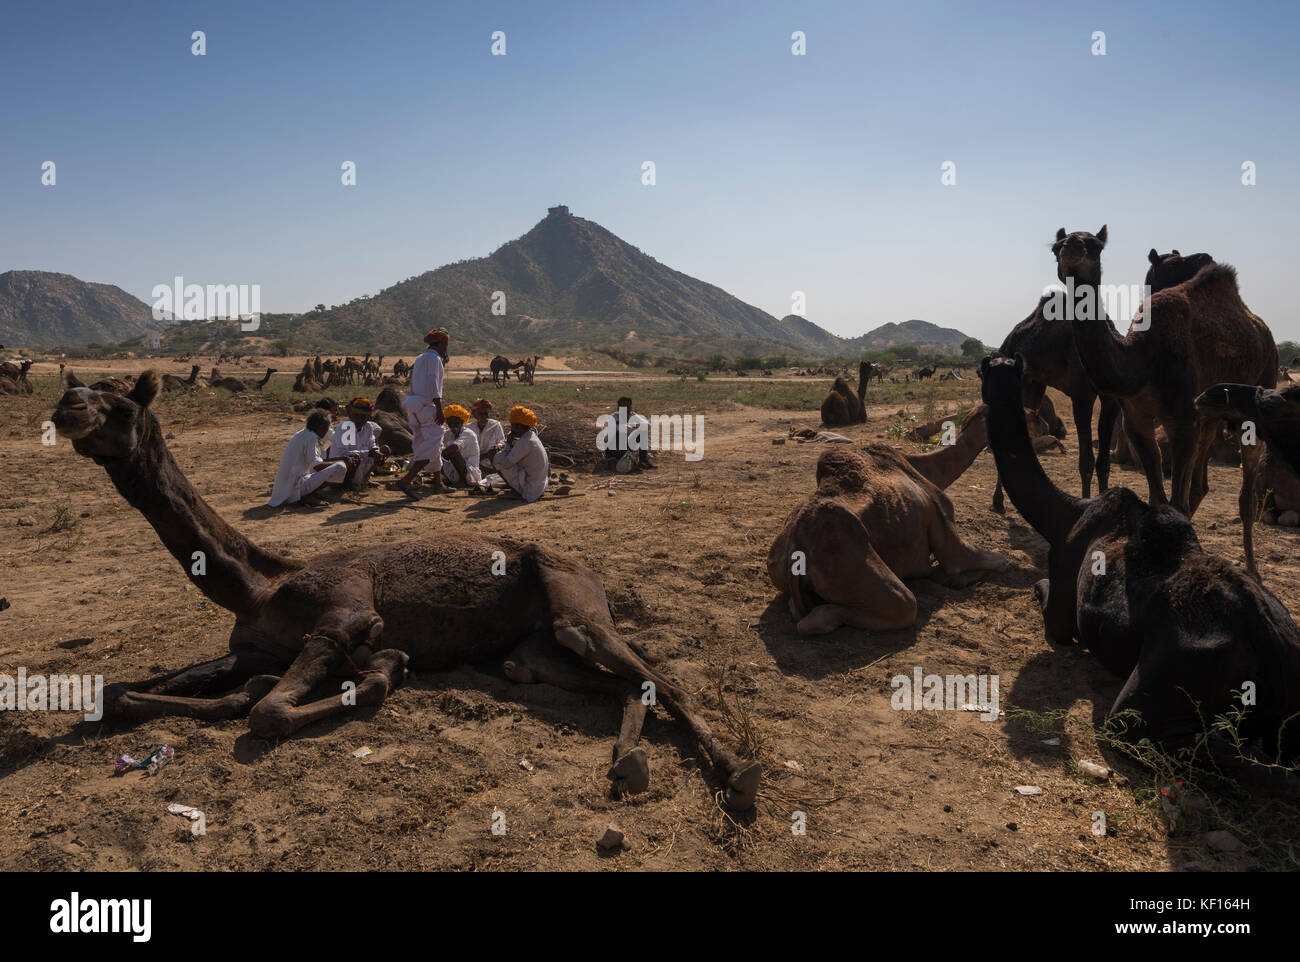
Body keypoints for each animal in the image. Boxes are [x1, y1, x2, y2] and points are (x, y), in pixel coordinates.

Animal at [49, 373, 761, 808]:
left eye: (122, 405)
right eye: (78, 393)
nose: (67, 406)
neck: (262, 585)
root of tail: (594, 573)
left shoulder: (342, 618)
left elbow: (268, 711)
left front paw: (380, 674)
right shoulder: (250, 649)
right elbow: (124, 695)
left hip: (579, 612)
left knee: (665, 679)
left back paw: (736, 775)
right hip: (533, 652)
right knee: (599, 681)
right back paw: (625, 760)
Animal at [981, 354, 1300, 758]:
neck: (1067, 513)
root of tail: (1275, 647)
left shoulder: (1063, 573)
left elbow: (1053, 607)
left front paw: (1039, 585)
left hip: (1173, 677)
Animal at [1068, 240, 1277, 578]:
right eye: (1172, 263)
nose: (1203, 257)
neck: (1145, 354)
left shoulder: (1182, 419)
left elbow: (1174, 500)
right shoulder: (1138, 418)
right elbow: (1158, 498)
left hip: (1258, 390)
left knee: (1245, 492)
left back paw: (1252, 569)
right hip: (1209, 416)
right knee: (1200, 485)